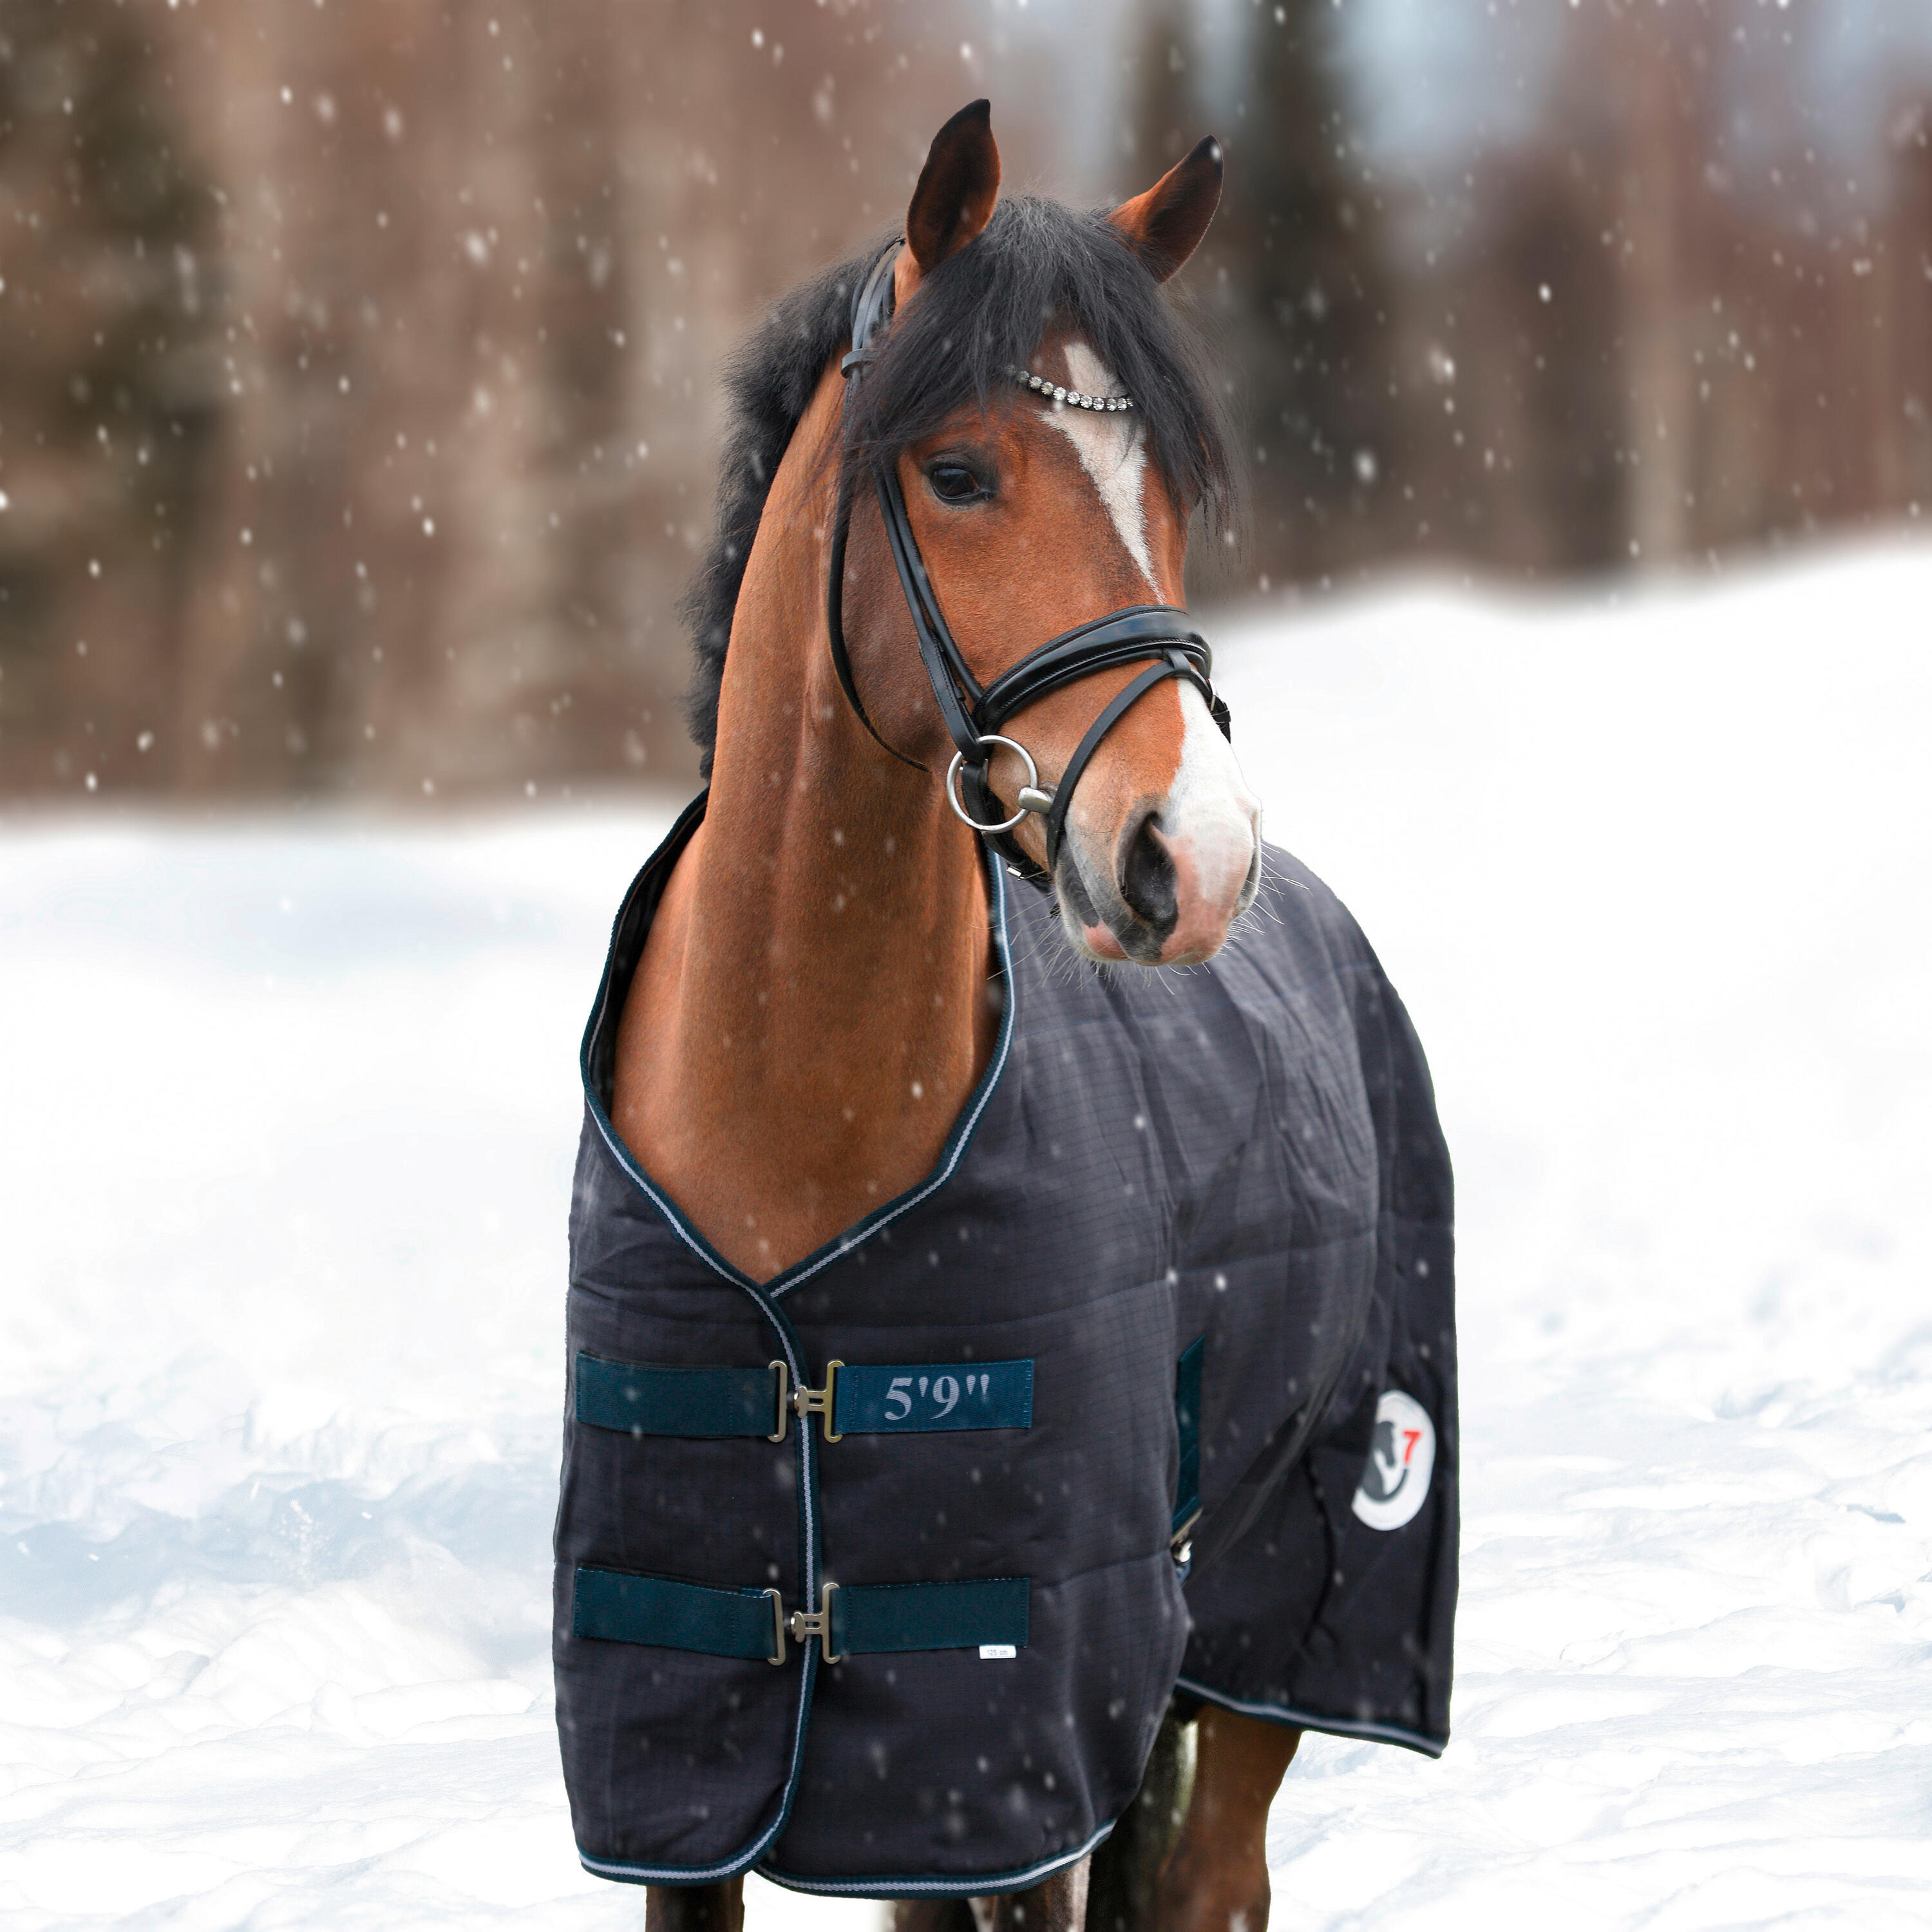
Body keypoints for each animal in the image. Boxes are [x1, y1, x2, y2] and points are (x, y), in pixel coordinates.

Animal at [552, 100, 1456, 1932]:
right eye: (958, 473)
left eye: (1170, 483)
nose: (1195, 855)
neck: (790, 1112)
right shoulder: (703, 1780)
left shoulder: (1023, 1749)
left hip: (1262, 1637)